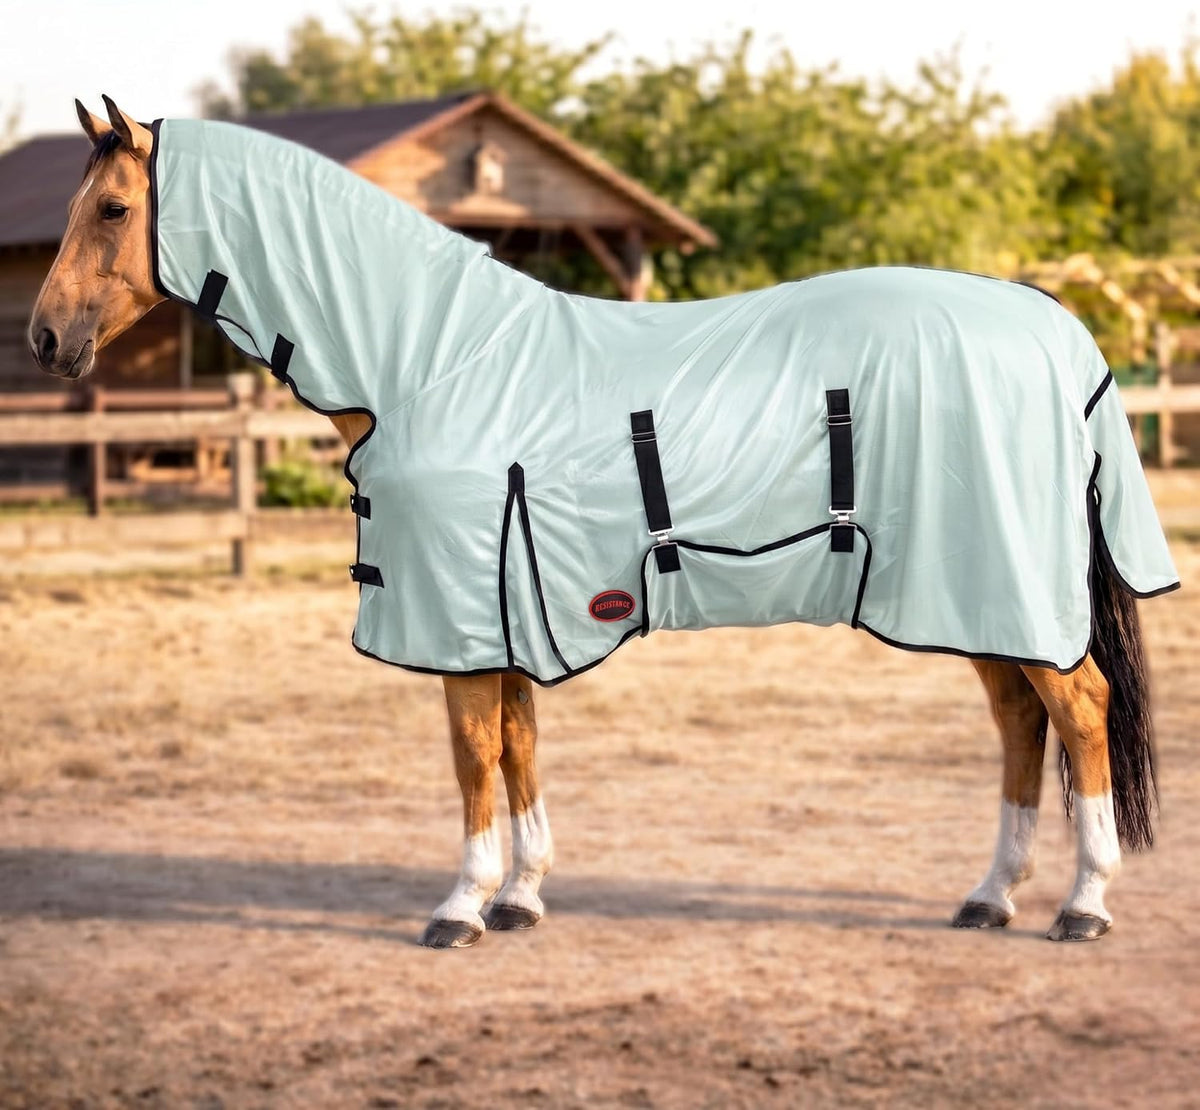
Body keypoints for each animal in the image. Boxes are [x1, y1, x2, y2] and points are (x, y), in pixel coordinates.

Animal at [28, 96, 1177, 947]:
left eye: (114, 209)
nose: (42, 338)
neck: (430, 357)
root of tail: (1050, 322)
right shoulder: (504, 611)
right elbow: (518, 747)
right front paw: (522, 895)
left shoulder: (462, 615)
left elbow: (474, 757)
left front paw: (460, 907)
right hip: (970, 594)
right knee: (1023, 719)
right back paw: (991, 896)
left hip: (1003, 588)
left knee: (1079, 710)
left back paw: (1083, 905)